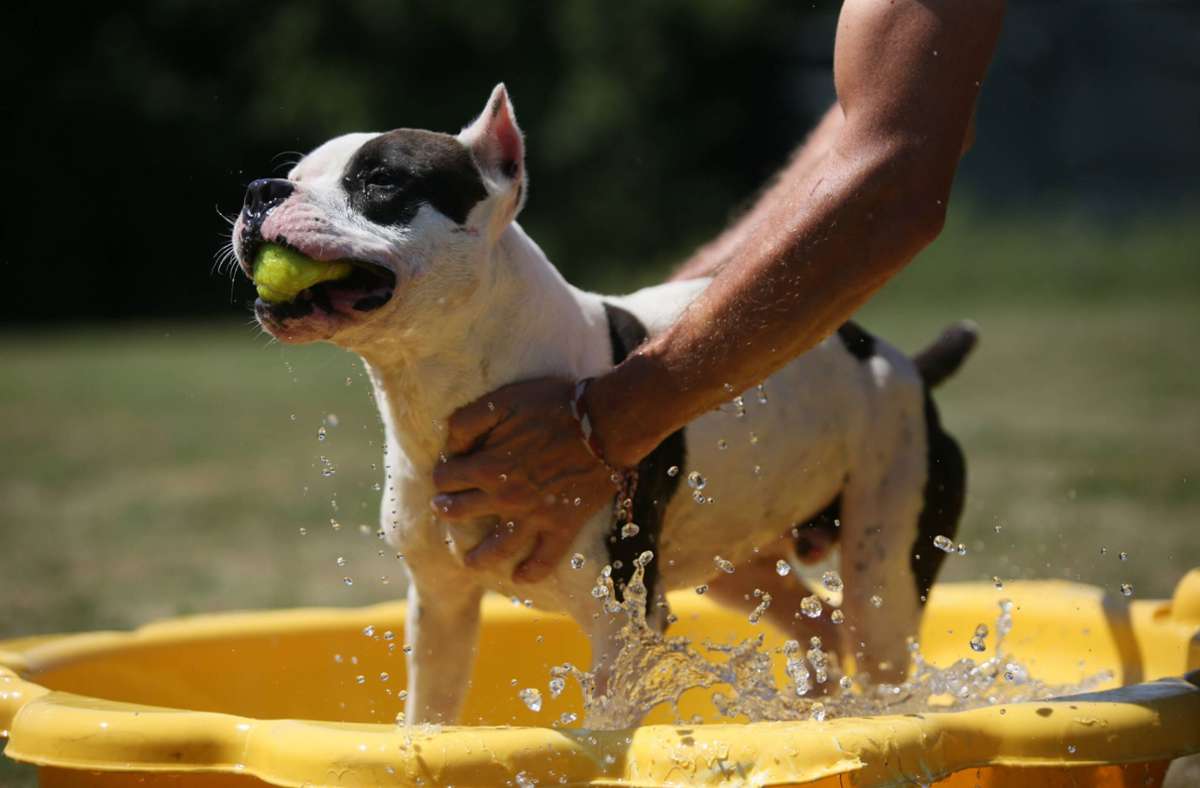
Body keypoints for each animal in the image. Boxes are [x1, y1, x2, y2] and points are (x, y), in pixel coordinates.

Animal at [231, 82, 974, 724]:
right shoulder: (440, 606)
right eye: (295, 173)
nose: (260, 191)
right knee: (816, 622)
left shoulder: (621, 622)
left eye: (381, 180)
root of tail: (905, 367)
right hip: (738, 560)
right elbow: (430, 721)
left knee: (875, 648)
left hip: (886, 568)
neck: (447, 386)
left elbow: (609, 727)